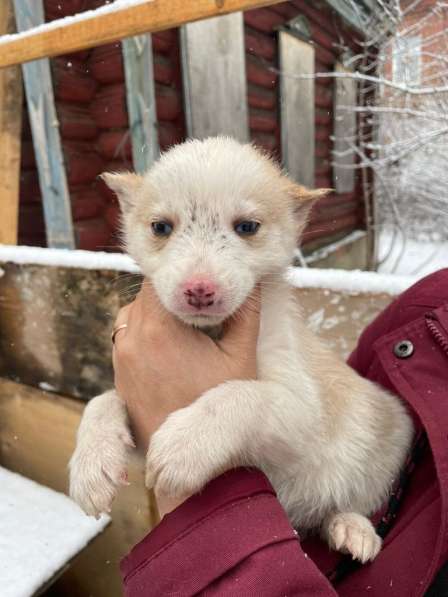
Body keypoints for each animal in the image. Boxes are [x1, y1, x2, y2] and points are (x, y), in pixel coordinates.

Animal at [70, 137, 412, 560]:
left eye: (247, 227)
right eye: (161, 227)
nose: (199, 290)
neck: (212, 330)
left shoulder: (303, 411)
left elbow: (244, 395)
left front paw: (184, 445)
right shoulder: (141, 419)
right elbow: (101, 400)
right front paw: (91, 464)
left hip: (387, 444)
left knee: (354, 501)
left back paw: (353, 528)